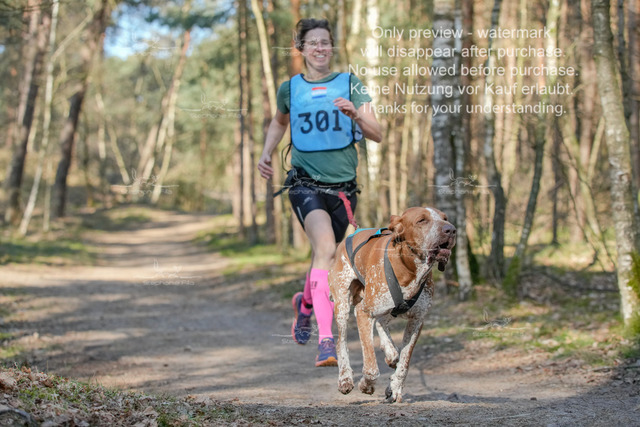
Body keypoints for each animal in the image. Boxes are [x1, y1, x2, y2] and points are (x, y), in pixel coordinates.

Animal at [328, 207, 456, 403]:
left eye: (445, 218)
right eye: (422, 220)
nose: (451, 230)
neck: (409, 268)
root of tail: (347, 238)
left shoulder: (417, 321)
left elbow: (405, 362)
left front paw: (395, 387)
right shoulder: (364, 313)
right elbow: (371, 368)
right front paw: (366, 384)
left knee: (381, 323)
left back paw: (390, 352)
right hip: (342, 304)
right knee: (341, 342)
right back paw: (345, 379)